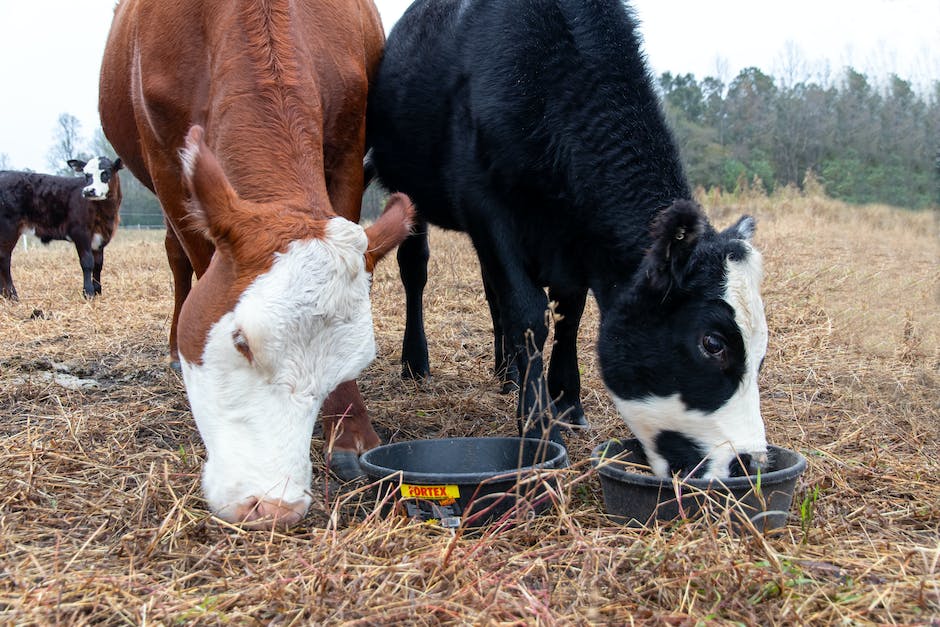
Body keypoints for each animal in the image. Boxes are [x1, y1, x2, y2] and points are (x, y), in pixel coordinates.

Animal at [0, 159, 124, 302]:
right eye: (86, 174)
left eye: (106, 173)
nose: (88, 191)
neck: (105, 213)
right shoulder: (80, 232)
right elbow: (87, 262)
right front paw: (88, 292)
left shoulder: (100, 237)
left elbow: (98, 264)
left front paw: (98, 291)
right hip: (8, 228)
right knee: (4, 259)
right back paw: (12, 295)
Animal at [96, 0, 414, 528]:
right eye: (240, 341)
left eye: (354, 363)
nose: (273, 506)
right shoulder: (166, 164)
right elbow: (198, 262)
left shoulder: (348, 149)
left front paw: (351, 431)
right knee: (176, 260)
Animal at [368, 0, 772, 478]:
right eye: (712, 343)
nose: (751, 463)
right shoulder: (487, 205)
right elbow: (529, 314)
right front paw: (540, 429)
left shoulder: (575, 240)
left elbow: (569, 315)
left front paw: (567, 402)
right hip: (407, 188)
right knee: (416, 270)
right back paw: (417, 363)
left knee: (492, 293)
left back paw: (507, 374)